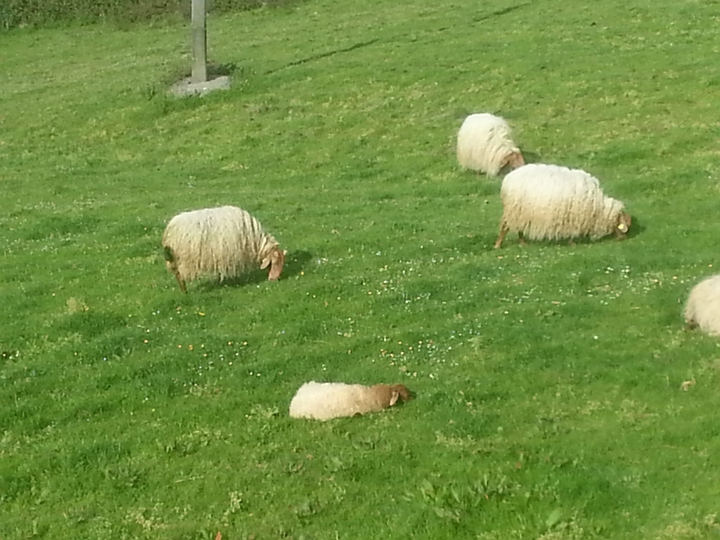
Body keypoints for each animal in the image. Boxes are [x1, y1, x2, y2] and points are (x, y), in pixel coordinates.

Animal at [494, 163, 631, 248]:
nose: (624, 238)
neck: (598, 207)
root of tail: (508, 179)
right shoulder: (573, 216)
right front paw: (572, 243)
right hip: (514, 209)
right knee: (505, 227)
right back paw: (498, 245)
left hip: (521, 212)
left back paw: (522, 243)